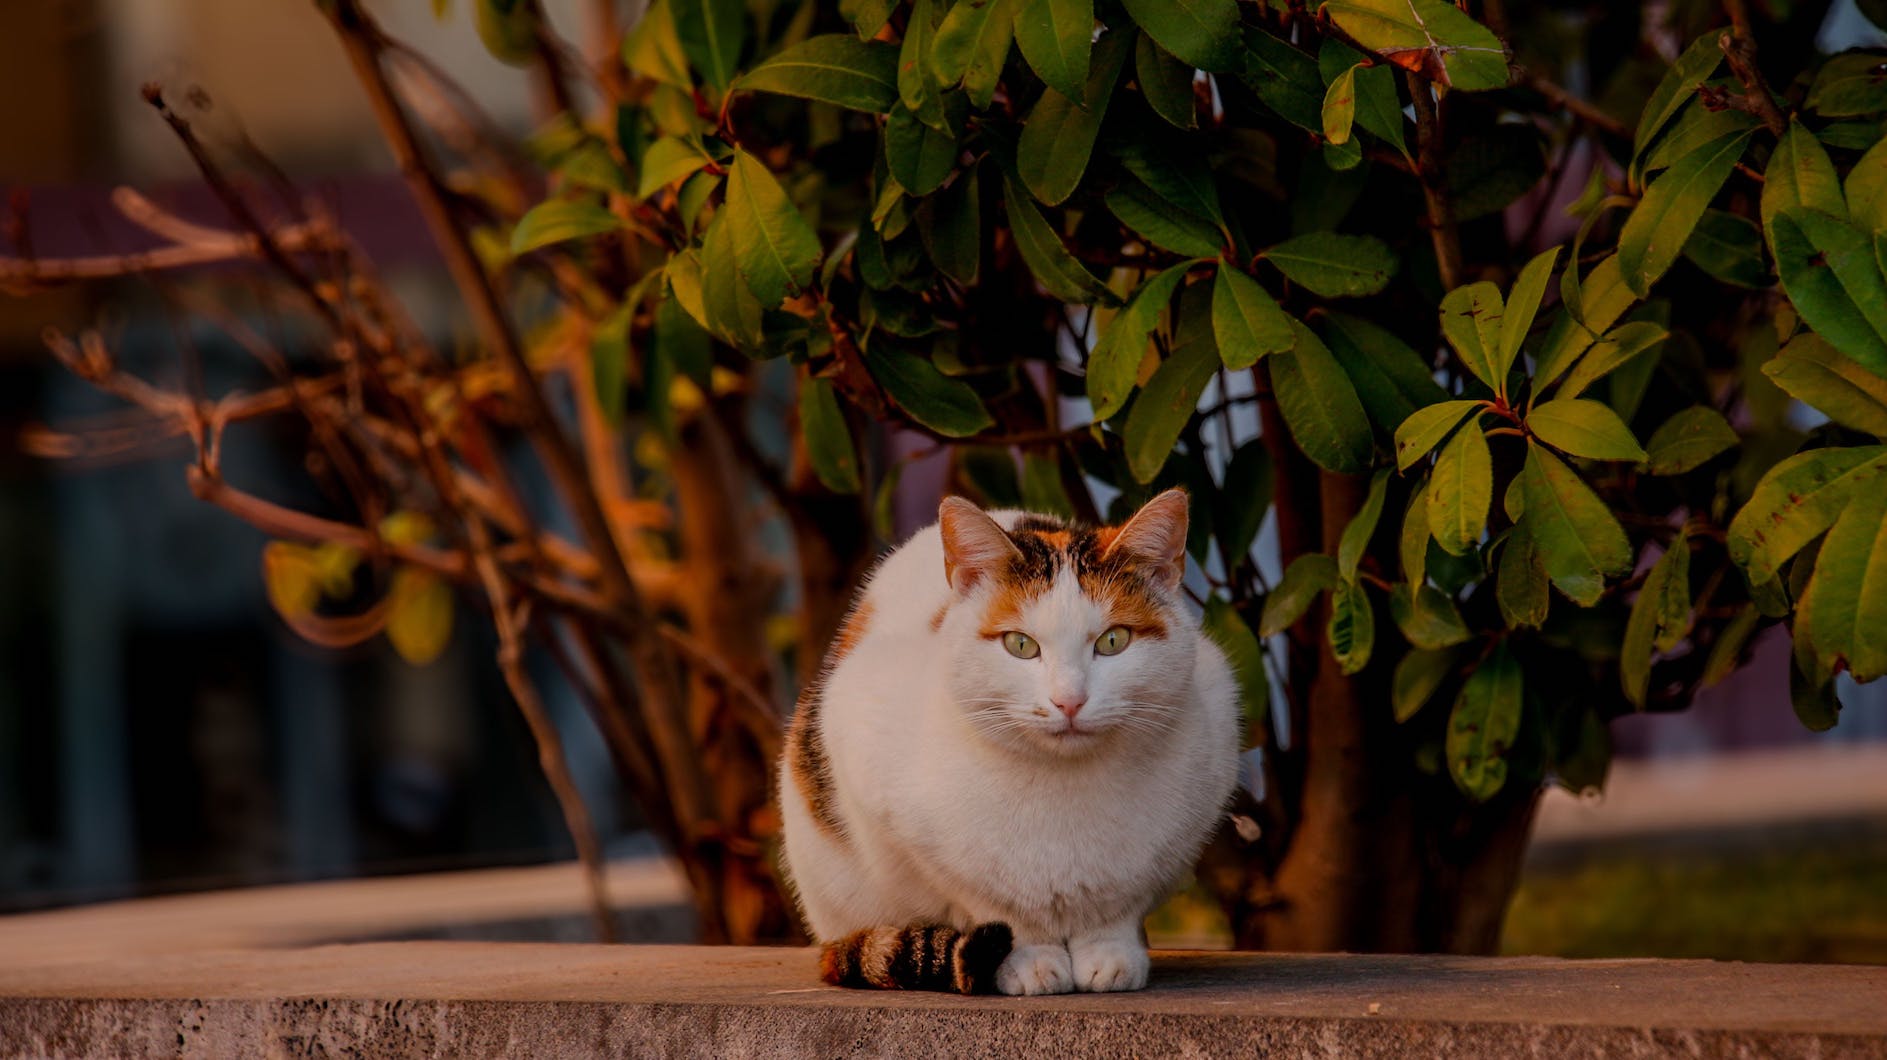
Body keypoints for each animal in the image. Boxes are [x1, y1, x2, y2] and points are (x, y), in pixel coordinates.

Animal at [777, 486, 1237, 988]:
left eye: (1114, 641)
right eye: (1020, 645)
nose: (1069, 701)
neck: (1063, 791)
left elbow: (1118, 905)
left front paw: (1111, 953)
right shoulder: (867, 753)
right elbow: (994, 904)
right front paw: (1030, 959)